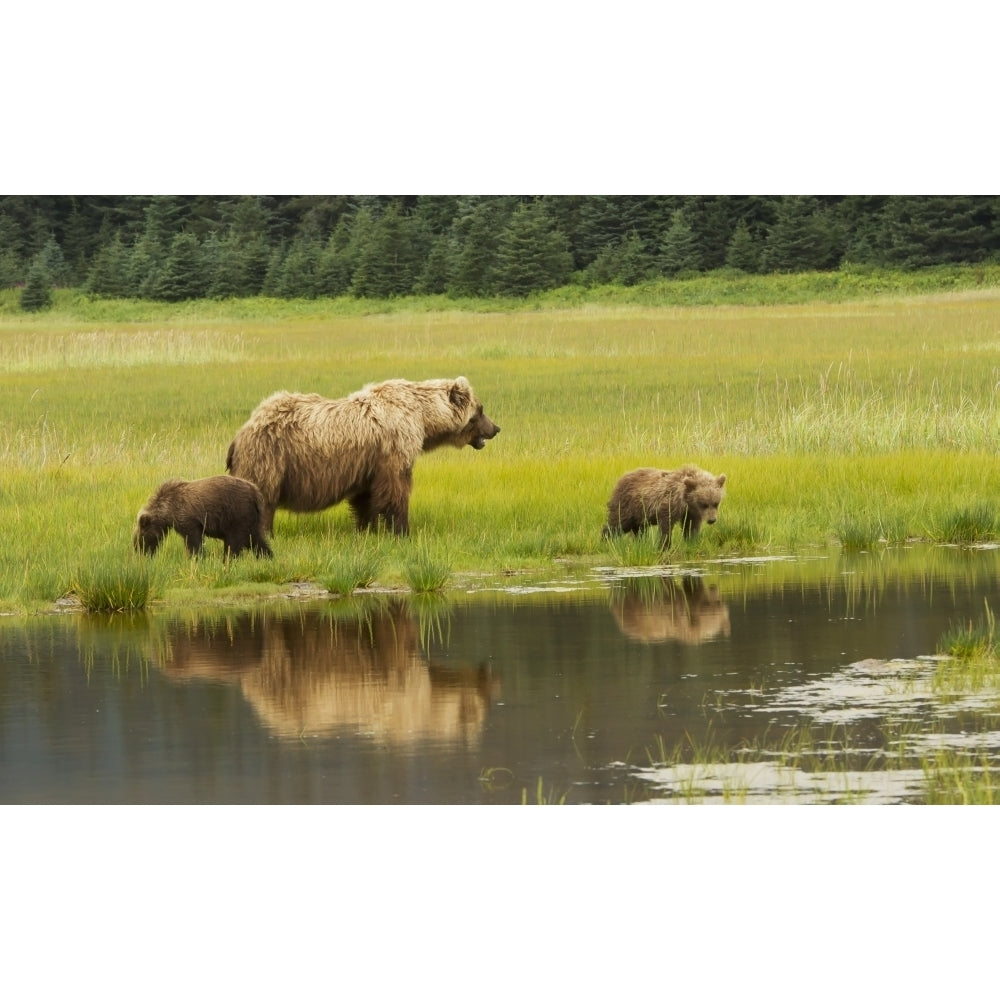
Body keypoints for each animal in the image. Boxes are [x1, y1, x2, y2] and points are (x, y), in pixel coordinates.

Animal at [135, 474, 274, 560]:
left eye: (140, 538)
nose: (140, 552)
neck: (168, 509)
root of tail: (255, 492)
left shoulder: (189, 518)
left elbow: (193, 540)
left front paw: (195, 557)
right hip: (252, 519)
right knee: (256, 539)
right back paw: (267, 556)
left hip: (237, 514)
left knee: (234, 541)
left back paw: (228, 559)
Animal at [223, 376, 496, 536]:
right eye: (480, 410)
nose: (496, 428)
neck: (422, 417)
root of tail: (240, 434)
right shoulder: (394, 447)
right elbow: (396, 488)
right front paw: (402, 530)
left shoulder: (369, 462)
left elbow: (366, 497)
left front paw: (367, 529)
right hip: (269, 457)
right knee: (261, 498)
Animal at [600, 462, 728, 544]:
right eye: (703, 504)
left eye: (716, 503)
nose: (712, 520)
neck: (686, 501)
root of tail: (621, 477)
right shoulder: (669, 503)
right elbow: (666, 525)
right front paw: (664, 545)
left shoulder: (691, 512)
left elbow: (691, 526)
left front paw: (691, 541)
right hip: (626, 504)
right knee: (618, 523)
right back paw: (605, 540)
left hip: (639, 513)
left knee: (639, 529)